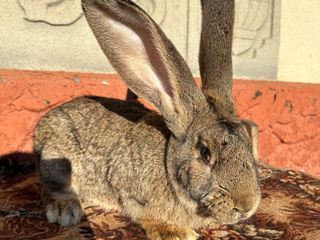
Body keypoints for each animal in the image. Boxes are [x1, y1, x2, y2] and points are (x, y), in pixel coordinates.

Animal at [33, 0, 262, 239]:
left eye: (249, 144)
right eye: (205, 154)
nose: (247, 206)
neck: (168, 166)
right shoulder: (130, 196)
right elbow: (147, 216)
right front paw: (176, 233)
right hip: (56, 163)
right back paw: (65, 210)